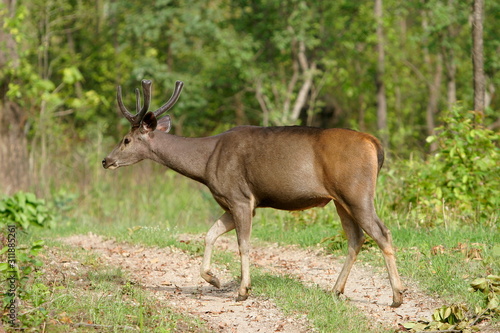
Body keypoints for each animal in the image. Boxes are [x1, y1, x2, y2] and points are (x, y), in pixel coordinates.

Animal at [102, 80, 406, 306]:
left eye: (126, 140)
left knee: (381, 232)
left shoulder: (240, 197)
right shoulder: (231, 202)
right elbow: (209, 234)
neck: (206, 163)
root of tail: (374, 144)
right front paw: (214, 278)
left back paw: (397, 296)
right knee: (356, 238)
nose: (106, 160)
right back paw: (335, 290)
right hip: (340, 200)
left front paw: (242, 290)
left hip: (356, 191)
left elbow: (243, 244)